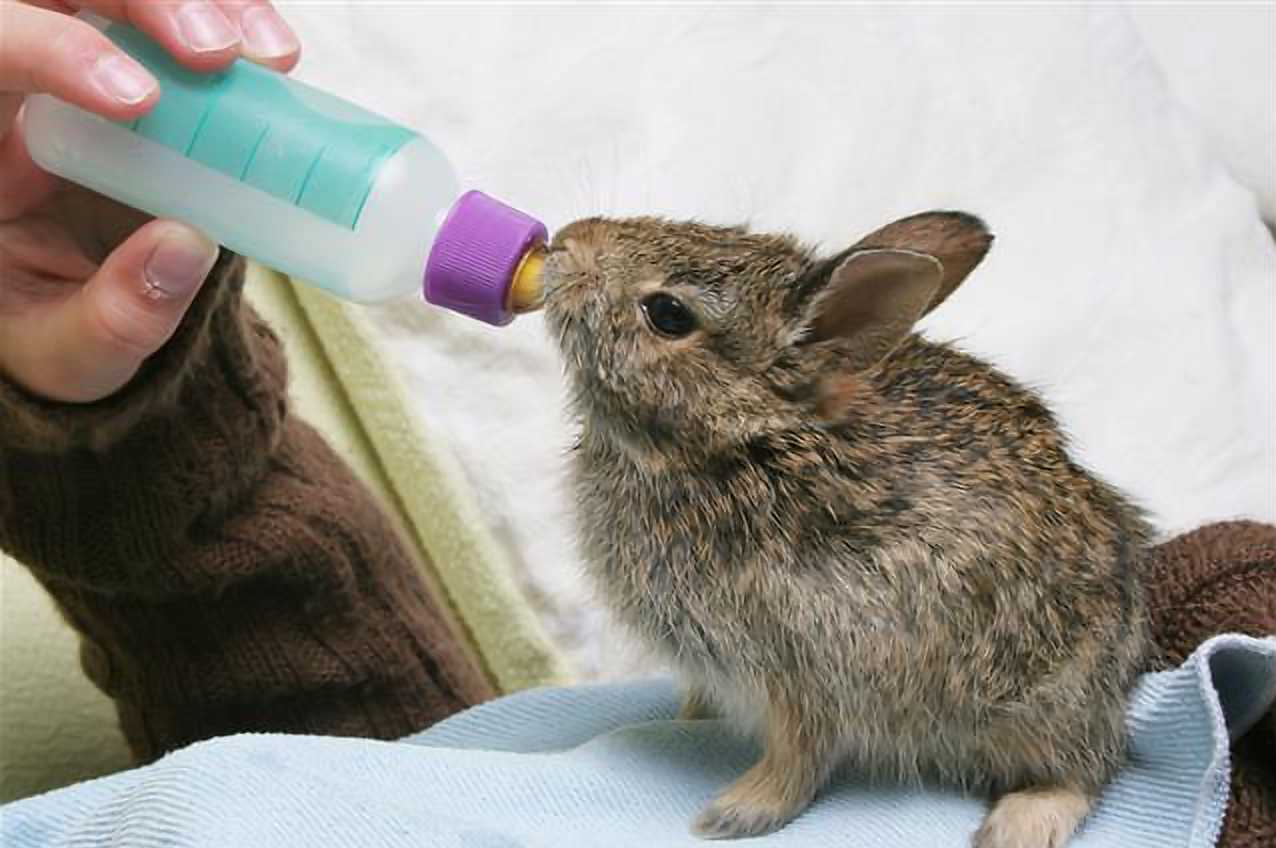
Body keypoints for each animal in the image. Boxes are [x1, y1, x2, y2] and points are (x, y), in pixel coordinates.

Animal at [543, 210, 1153, 846]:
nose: (567, 242)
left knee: (1088, 768)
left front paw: (736, 813)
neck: (746, 441)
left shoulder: (807, 664)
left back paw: (1019, 823)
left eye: (668, 313)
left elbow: (800, 755)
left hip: (1041, 701)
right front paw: (691, 721)